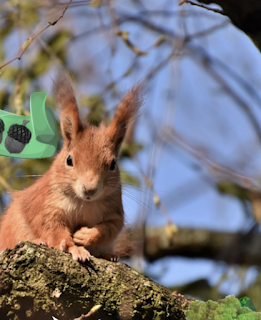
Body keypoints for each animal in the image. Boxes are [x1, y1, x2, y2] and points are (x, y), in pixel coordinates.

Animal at [0, 73, 142, 262]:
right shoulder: (47, 206)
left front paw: (85, 236)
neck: (84, 203)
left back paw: (109, 255)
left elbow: (111, 228)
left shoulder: (114, 209)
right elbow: (53, 229)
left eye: (113, 164)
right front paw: (75, 248)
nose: (89, 189)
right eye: (69, 160)